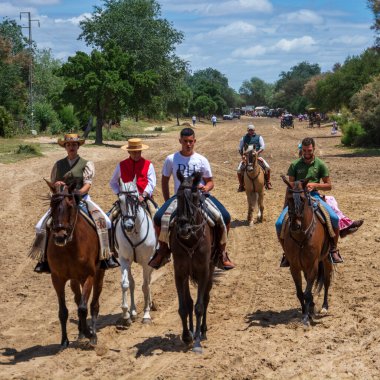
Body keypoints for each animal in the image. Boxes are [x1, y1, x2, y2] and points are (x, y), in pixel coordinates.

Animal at [45, 181, 104, 348]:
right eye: (51, 205)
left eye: (70, 205)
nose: (60, 236)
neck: (69, 247)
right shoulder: (57, 279)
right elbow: (63, 311)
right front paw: (64, 340)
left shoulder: (88, 276)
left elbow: (83, 308)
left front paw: (90, 333)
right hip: (73, 280)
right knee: (78, 299)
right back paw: (80, 333)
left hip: (98, 274)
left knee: (93, 304)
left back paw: (92, 334)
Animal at [114, 180, 156, 326]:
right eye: (119, 200)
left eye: (135, 199)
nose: (128, 226)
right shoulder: (124, 260)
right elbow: (126, 284)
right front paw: (126, 314)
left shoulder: (147, 262)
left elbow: (145, 286)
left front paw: (146, 315)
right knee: (132, 283)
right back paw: (132, 312)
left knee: (148, 281)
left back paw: (150, 304)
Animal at [280, 177, 332, 326]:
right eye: (289, 198)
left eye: (303, 199)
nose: (295, 225)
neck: (301, 237)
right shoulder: (294, 266)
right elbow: (300, 292)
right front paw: (305, 312)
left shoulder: (313, 265)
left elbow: (308, 293)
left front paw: (306, 318)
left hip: (326, 258)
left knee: (327, 281)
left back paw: (324, 307)